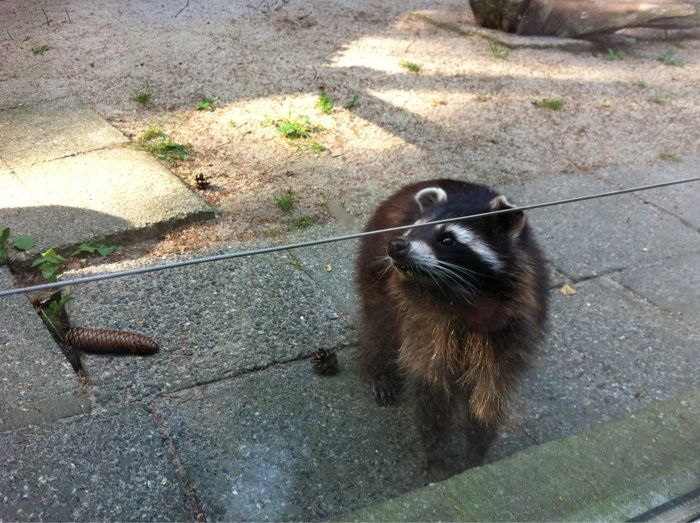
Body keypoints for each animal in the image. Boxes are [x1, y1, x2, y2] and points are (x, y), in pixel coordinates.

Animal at [358, 179, 548, 478]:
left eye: (447, 239)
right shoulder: (425, 323)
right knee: (380, 326)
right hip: (373, 269)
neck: (458, 293)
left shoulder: (512, 327)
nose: (396, 244)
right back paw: (379, 369)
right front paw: (435, 453)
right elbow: (430, 387)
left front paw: (476, 450)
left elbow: (489, 393)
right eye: (412, 229)